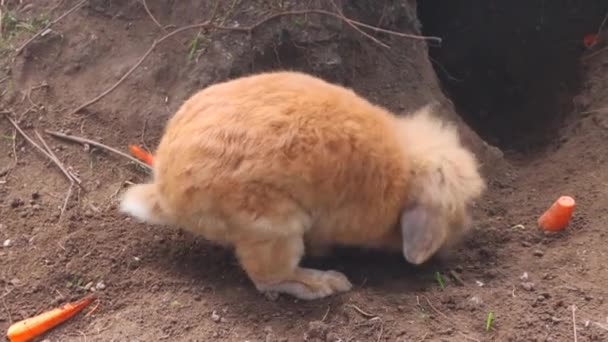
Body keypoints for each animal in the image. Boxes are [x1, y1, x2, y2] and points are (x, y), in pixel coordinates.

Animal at [121, 71, 486, 300]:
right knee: (269, 278)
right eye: (457, 213)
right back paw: (326, 283)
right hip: (274, 226)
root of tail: (167, 195)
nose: (466, 233)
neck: (405, 176)